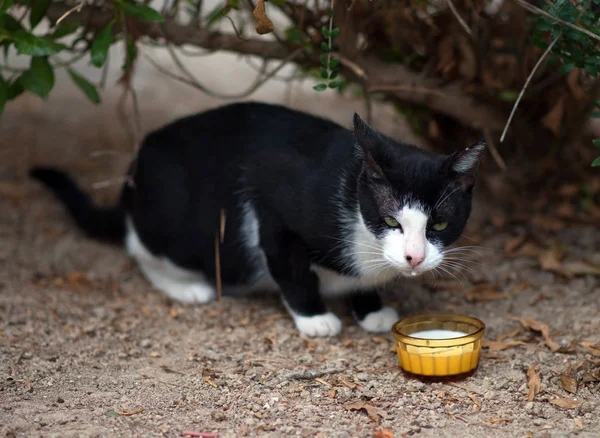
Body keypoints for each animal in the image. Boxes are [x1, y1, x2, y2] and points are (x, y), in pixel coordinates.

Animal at [30, 102, 486, 338]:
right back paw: (186, 286)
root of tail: (132, 176)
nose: (414, 257)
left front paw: (370, 307)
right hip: (174, 217)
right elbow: (291, 268)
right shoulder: (271, 199)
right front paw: (314, 317)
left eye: (438, 225)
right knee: (139, 246)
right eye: (391, 221)